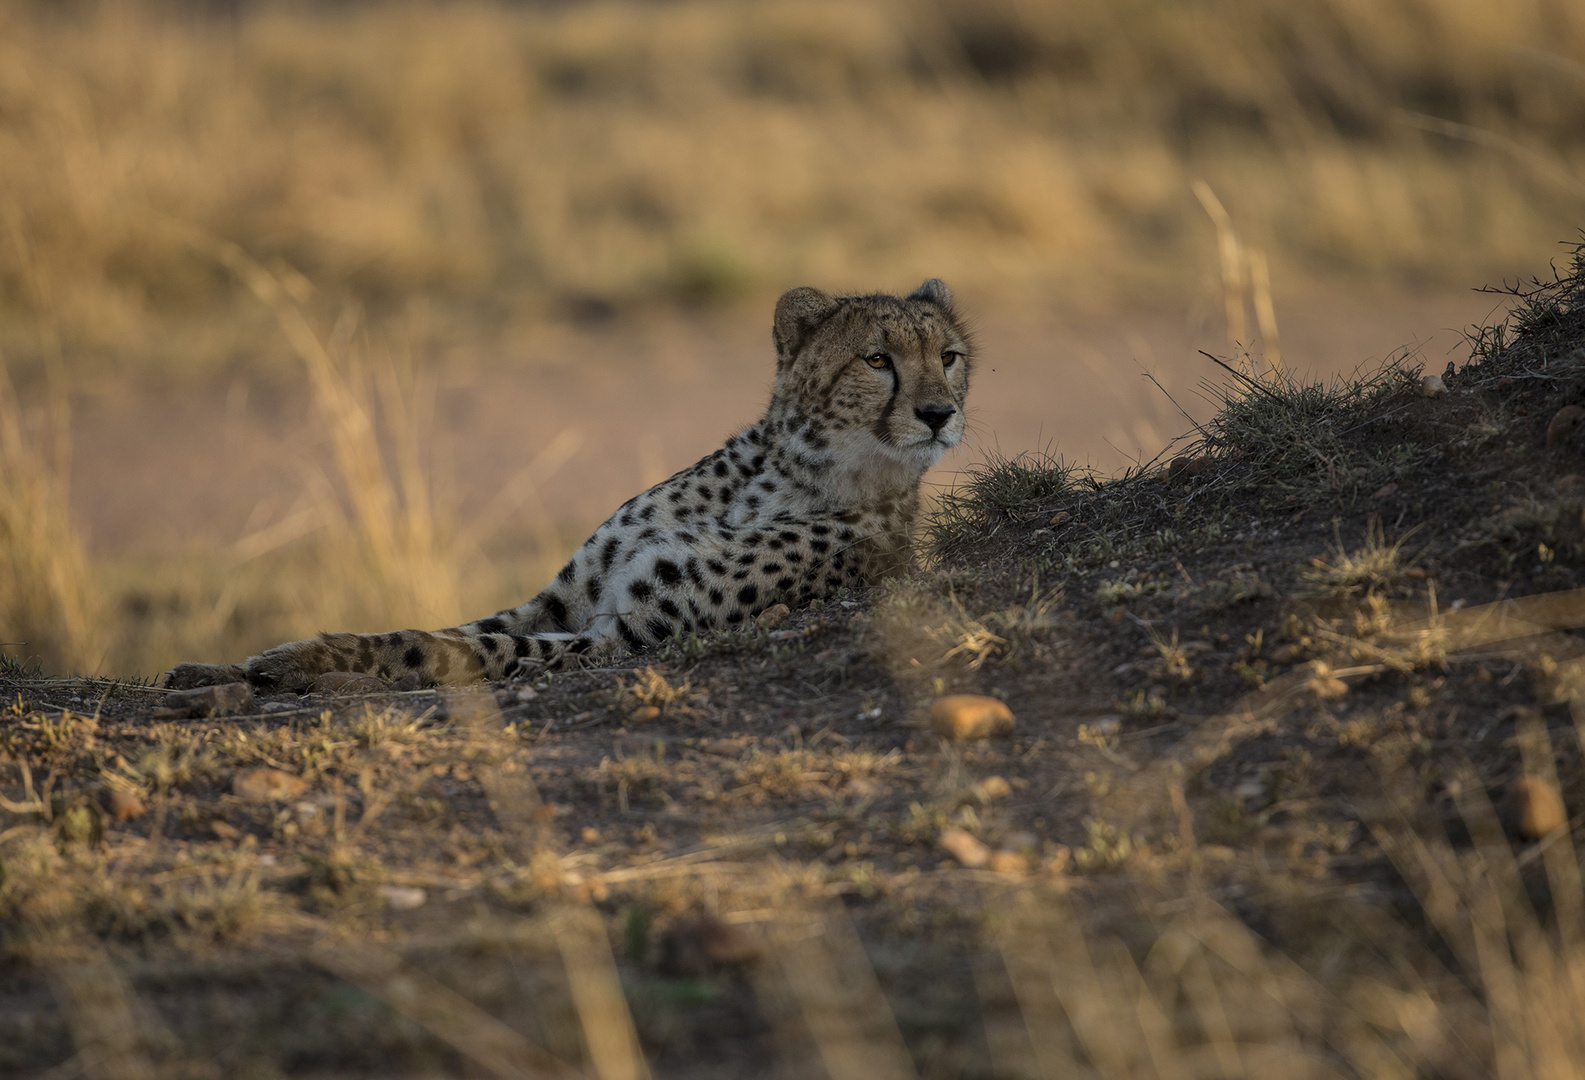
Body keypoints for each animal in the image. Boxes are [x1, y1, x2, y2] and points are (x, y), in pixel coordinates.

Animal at [167, 282, 970, 691]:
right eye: (876, 359)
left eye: (949, 357)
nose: (939, 413)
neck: (784, 472)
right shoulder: (558, 601)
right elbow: (445, 628)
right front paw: (237, 663)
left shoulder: (623, 638)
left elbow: (454, 651)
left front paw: (306, 665)